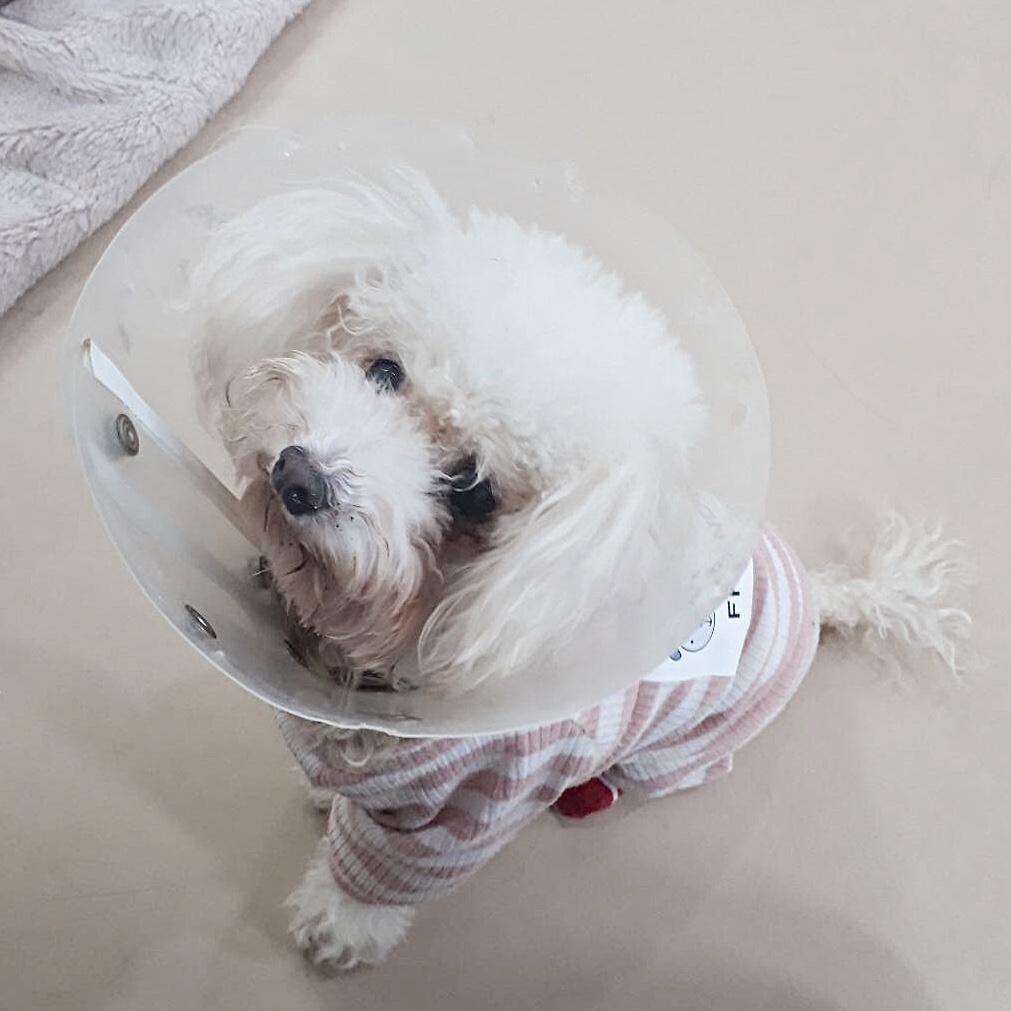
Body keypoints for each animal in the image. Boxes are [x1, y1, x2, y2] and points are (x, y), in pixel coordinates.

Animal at [189, 172, 969, 970]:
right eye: (382, 371)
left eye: (471, 490)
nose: (299, 477)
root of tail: (820, 593)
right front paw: (325, 795)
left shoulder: (461, 813)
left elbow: (378, 882)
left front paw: (336, 925)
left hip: (684, 751)